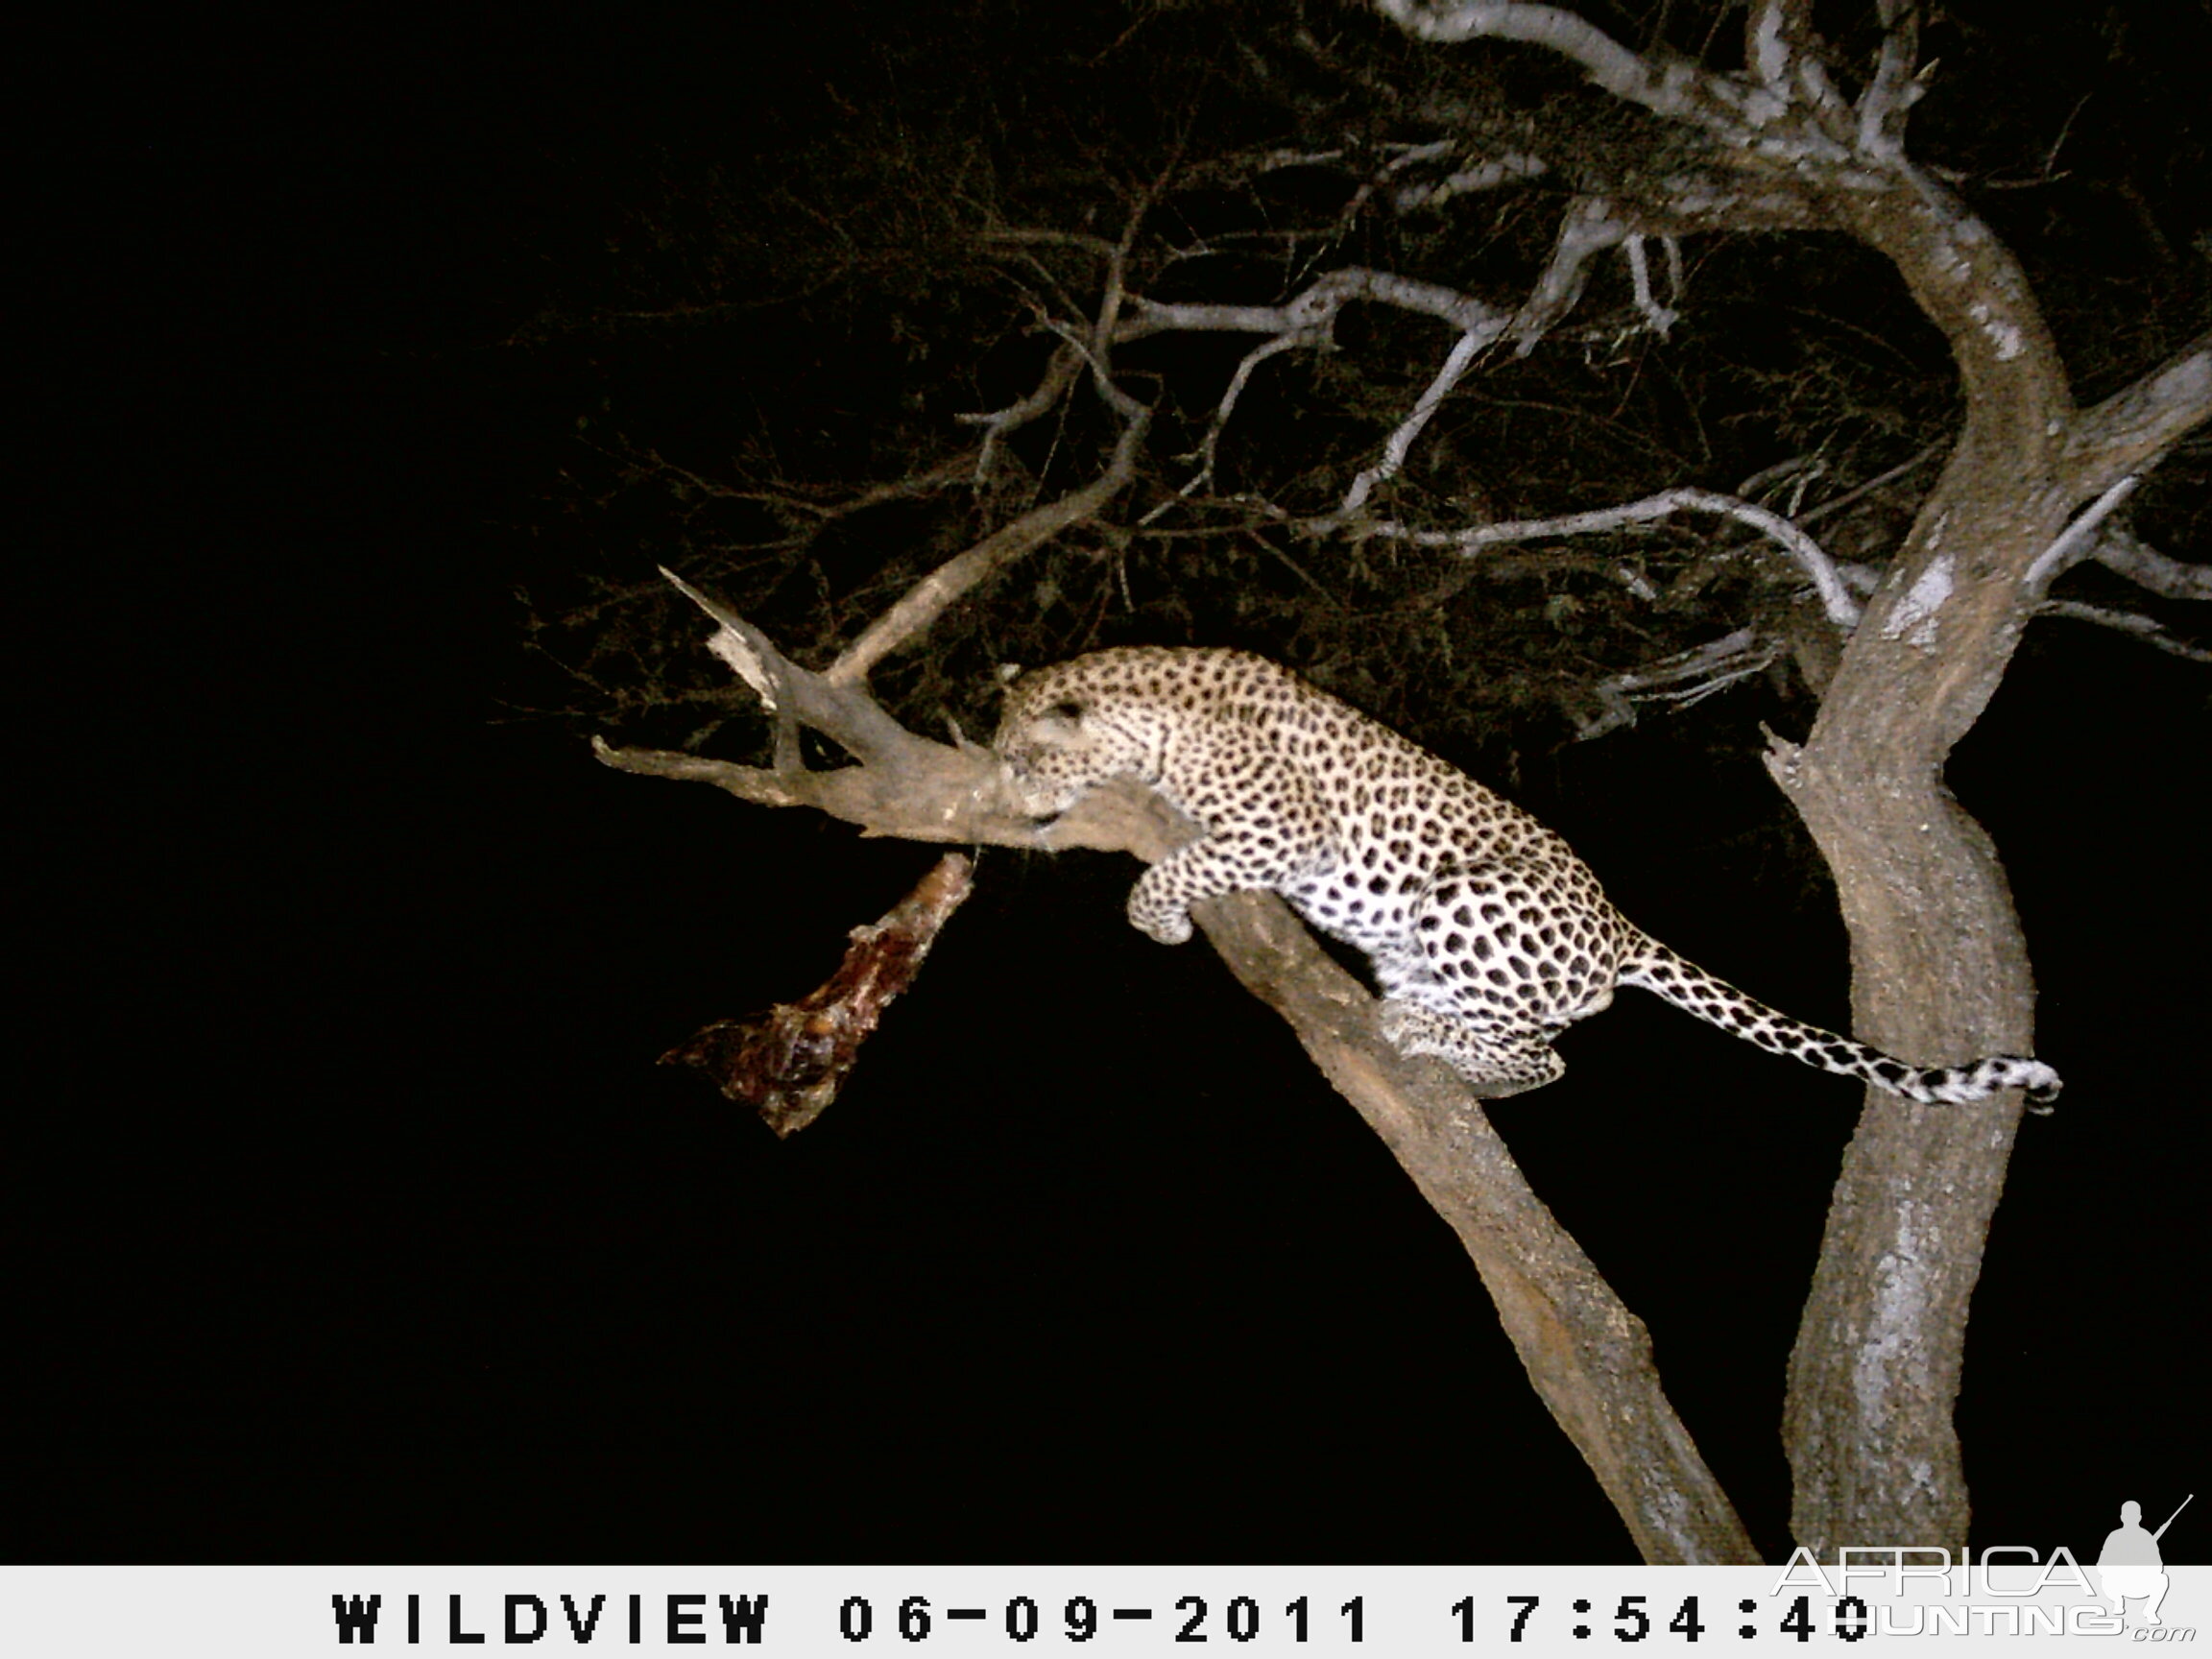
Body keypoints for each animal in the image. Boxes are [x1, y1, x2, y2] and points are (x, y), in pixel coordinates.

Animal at [995, 641, 2061, 1110]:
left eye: (1017, 759)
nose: (999, 804)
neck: (1159, 704)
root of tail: (1620, 925)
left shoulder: (1286, 829)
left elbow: (1186, 861)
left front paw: (1158, 918)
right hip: (1425, 945)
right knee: (1523, 1038)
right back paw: (1420, 1022)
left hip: (1462, 897)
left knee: (1548, 1055)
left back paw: (1428, 1035)